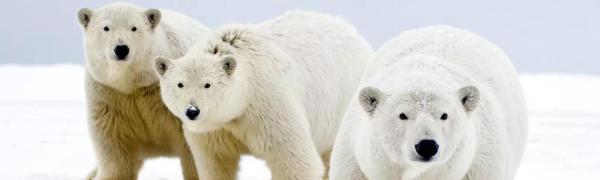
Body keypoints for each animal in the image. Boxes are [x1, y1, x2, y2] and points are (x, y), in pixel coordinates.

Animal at [77, 2, 210, 179]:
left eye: (134, 27)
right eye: (106, 27)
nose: (121, 49)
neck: (132, 85)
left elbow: (194, 151)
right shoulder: (109, 97)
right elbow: (117, 157)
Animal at [152, 10, 372, 179]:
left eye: (207, 84)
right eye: (180, 84)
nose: (192, 111)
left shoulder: (267, 105)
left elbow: (294, 161)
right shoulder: (214, 130)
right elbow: (216, 163)